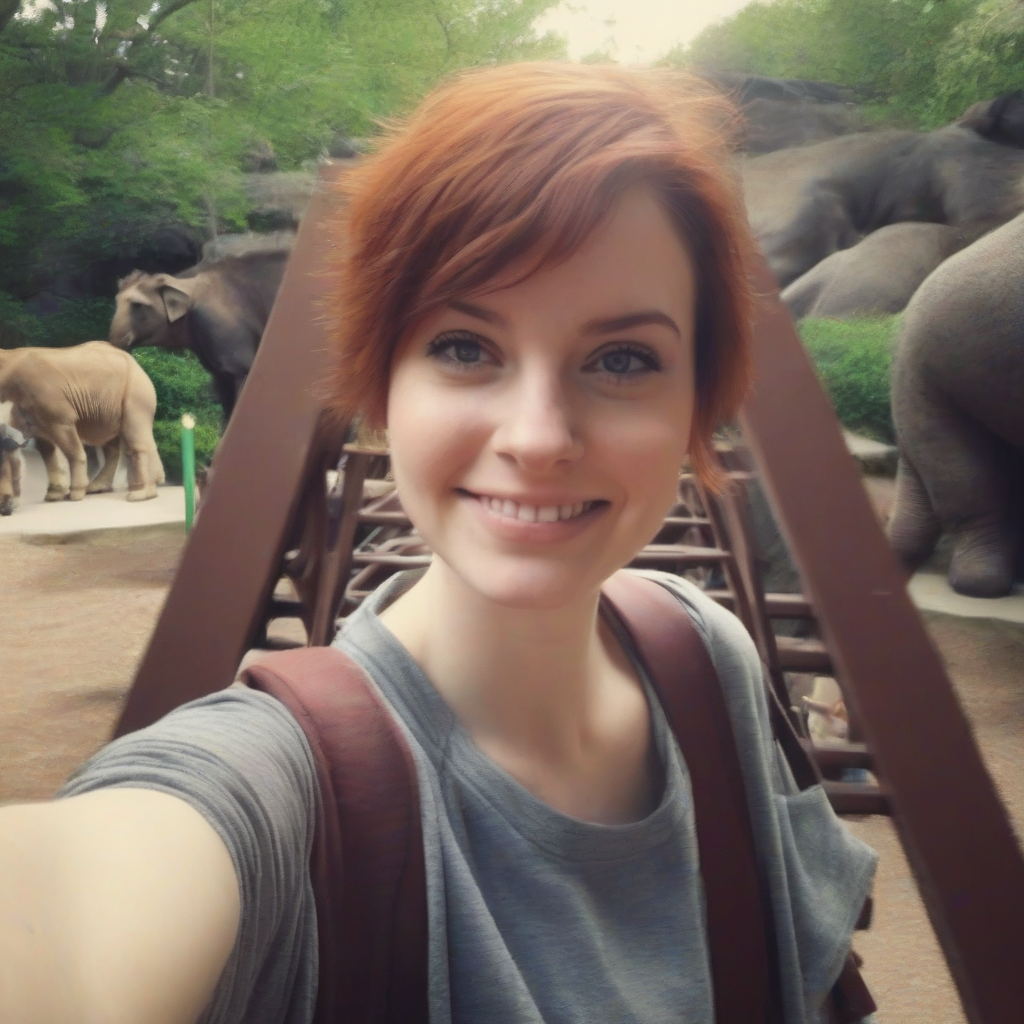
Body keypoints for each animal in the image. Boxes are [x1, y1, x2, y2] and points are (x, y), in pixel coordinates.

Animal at [0, 344, 162, 503]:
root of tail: (136, 362)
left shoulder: (59, 417)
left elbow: (71, 449)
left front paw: (75, 495)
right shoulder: (35, 416)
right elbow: (47, 451)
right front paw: (54, 495)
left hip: (136, 385)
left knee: (134, 431)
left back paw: (139, 495)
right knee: (108, 439)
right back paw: (97, 488)